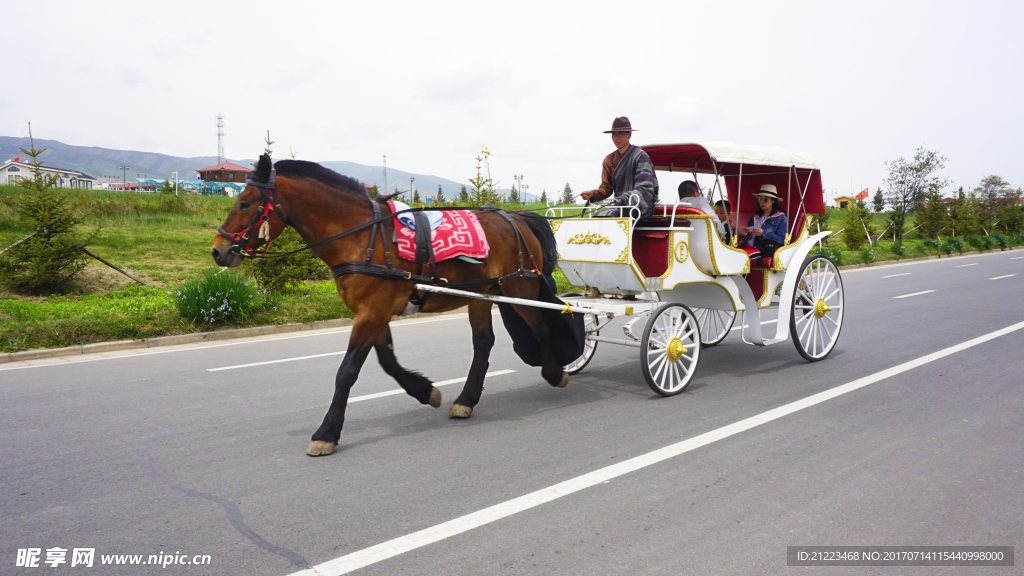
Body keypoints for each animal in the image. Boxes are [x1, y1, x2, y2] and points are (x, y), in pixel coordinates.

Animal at [211, 154, 573, 455]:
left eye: (245, 203)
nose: (218, 250)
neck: (361, 237)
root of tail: (516, 218)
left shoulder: (371, 311)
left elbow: (347, 371)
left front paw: (327, 432)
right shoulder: (373, 310)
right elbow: (386, 360)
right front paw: (424, 390)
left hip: (519, 286)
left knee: (541, 326)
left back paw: (554, 372)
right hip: (482, 294)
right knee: (483, 342)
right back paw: (466, 399)